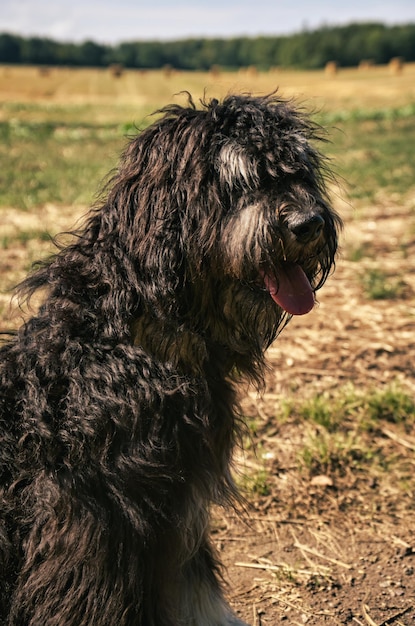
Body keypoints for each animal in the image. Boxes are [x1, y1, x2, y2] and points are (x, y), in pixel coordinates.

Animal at [0, 94, 342, 624]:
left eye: (298, 170)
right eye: (238, 181)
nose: (309, 224)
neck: (130, 339)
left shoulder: (175, 512)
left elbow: (192, 589)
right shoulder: (88, 521)